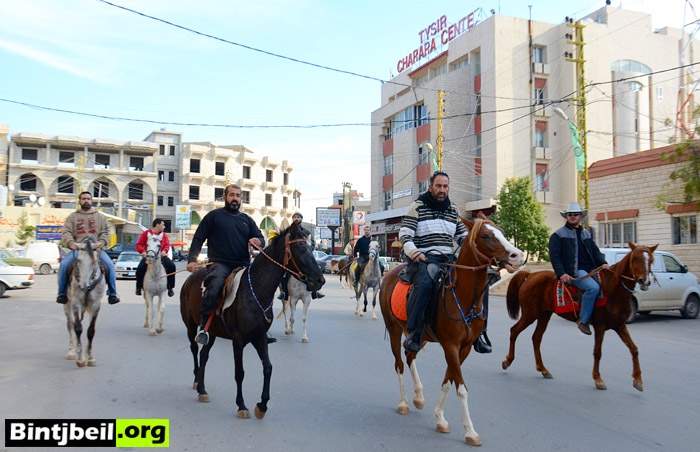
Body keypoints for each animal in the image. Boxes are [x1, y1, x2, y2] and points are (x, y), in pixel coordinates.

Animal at [64, 237, 106, 368]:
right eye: (78, 261)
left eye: (94, 262)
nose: (83, 286)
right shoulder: (76, 304)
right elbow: (78, 328)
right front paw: (80, 359)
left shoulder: (96, 305)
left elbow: (91, 331)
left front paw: (90, 358)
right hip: (67, 304)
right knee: (70, 324)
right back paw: (71, 352)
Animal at [179, 224, 324, 418]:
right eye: (301, 248)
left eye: (311, 247)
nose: (320, 280)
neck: (256, 290)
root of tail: (191, 277)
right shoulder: (238, 340)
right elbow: (239, 373)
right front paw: (241, 405)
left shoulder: (259, 337)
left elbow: (268, 368)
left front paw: (262, 405)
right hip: (191, 325)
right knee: (195, 349)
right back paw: (196, 380)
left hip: (214, 332)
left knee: (204, 354)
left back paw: (202, 389)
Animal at [380, 218, 524, 444]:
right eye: (486, 236)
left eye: (501, 231)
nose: (517, 255)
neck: (462, 296)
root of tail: (389, 274)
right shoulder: (450, 345)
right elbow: (461, 387)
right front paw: (470, 432)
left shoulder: (464, 348)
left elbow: (449, 380)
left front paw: (439, 418)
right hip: (394, 329)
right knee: (399, 364)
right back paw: (403, 403)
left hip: (419, 336)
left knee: (410, 354)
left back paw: (419, 397)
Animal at [504, 240, 656, 392]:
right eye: (635, 258)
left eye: (651, 260)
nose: (645, 281)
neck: (613, 289)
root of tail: (530, 276)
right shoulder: (600, 327)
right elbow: (597, 352)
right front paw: (598, 379)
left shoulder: (619, 325)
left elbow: (634, 349)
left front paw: (638, 380)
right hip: (530, 314)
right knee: (514, 331)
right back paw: (507, 361)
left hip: (544, 315)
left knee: (536, 338)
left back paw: (543, 369)